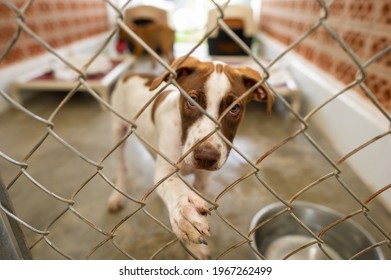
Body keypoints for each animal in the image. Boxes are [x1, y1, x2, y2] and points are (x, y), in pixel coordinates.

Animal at [107, 55, 272, 260]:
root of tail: (132, 73)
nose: (206, 157)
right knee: (122, 166)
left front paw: (195, 249)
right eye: (192, 101)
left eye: (234, 108)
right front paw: (185, 212)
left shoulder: (202, 179)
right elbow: (174, 186)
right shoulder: (166, 170)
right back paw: (117, 195)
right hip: (118, 130)